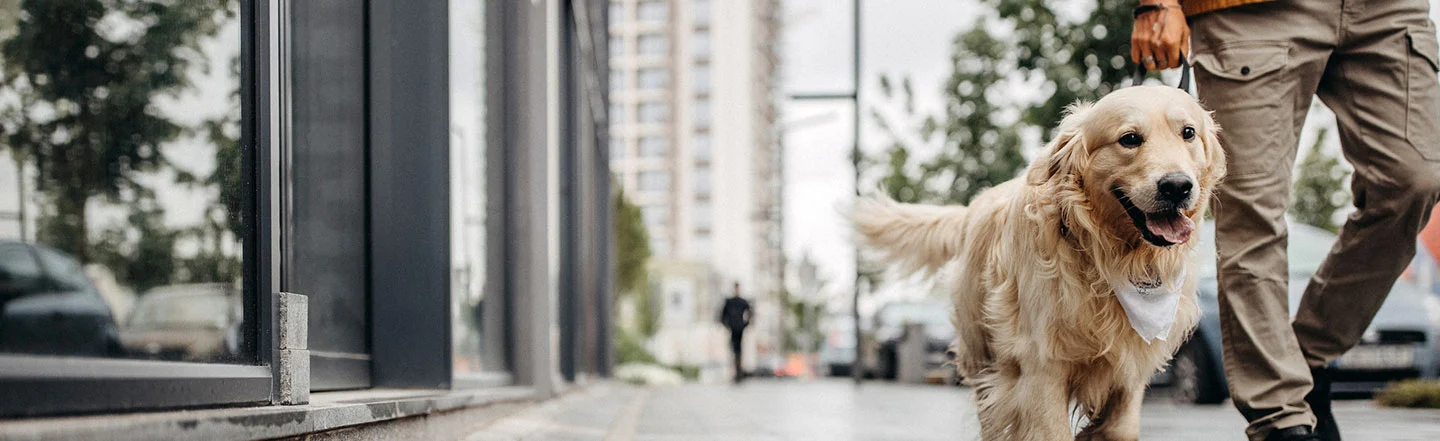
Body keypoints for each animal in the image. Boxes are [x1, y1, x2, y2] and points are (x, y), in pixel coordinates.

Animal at [846, 84, 1232, 438]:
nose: (1177, 186)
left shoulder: (1129, 375)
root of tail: (972, 208)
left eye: (1188, 133)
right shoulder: (1041, 368)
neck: (1108, 257)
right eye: (1130, 139)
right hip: (985, 358)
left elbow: (1120, 426)